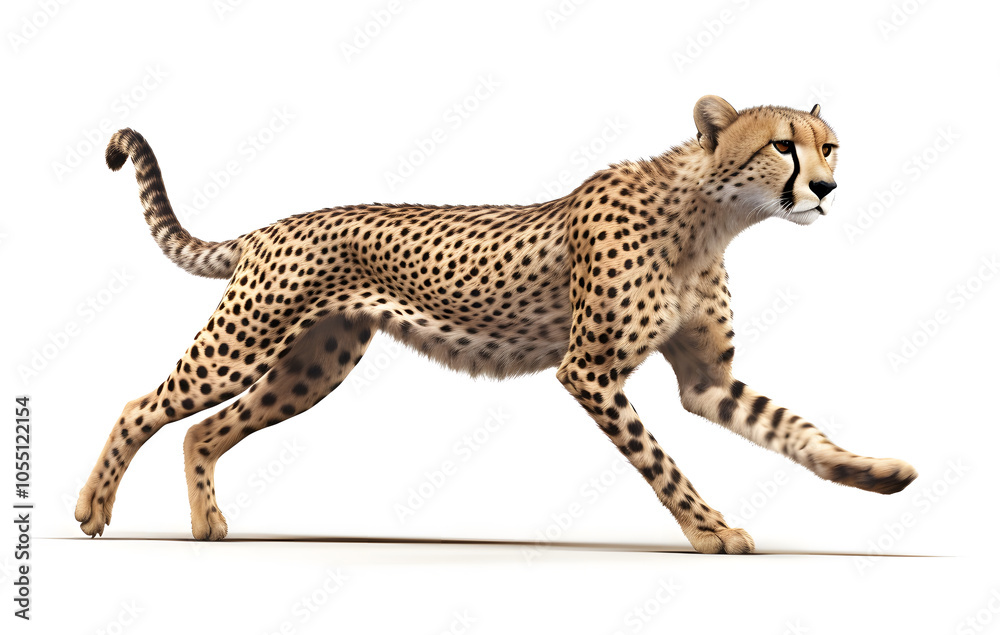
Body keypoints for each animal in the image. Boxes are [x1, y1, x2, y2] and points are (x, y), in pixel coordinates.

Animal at [75, 95, 917, 553]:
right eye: (781, 144)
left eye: (829, 145)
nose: (826, 187)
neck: (710, 214)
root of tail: (270, 227)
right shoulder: (590, 371)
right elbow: (662, 461)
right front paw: (708, 528)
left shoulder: (707, 379)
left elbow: (791, 427)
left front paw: (873, 473)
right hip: (242, 343)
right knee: (142, 406)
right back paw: (93, 508)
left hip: (312, 364)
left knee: (201, 429)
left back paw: (208, 523)